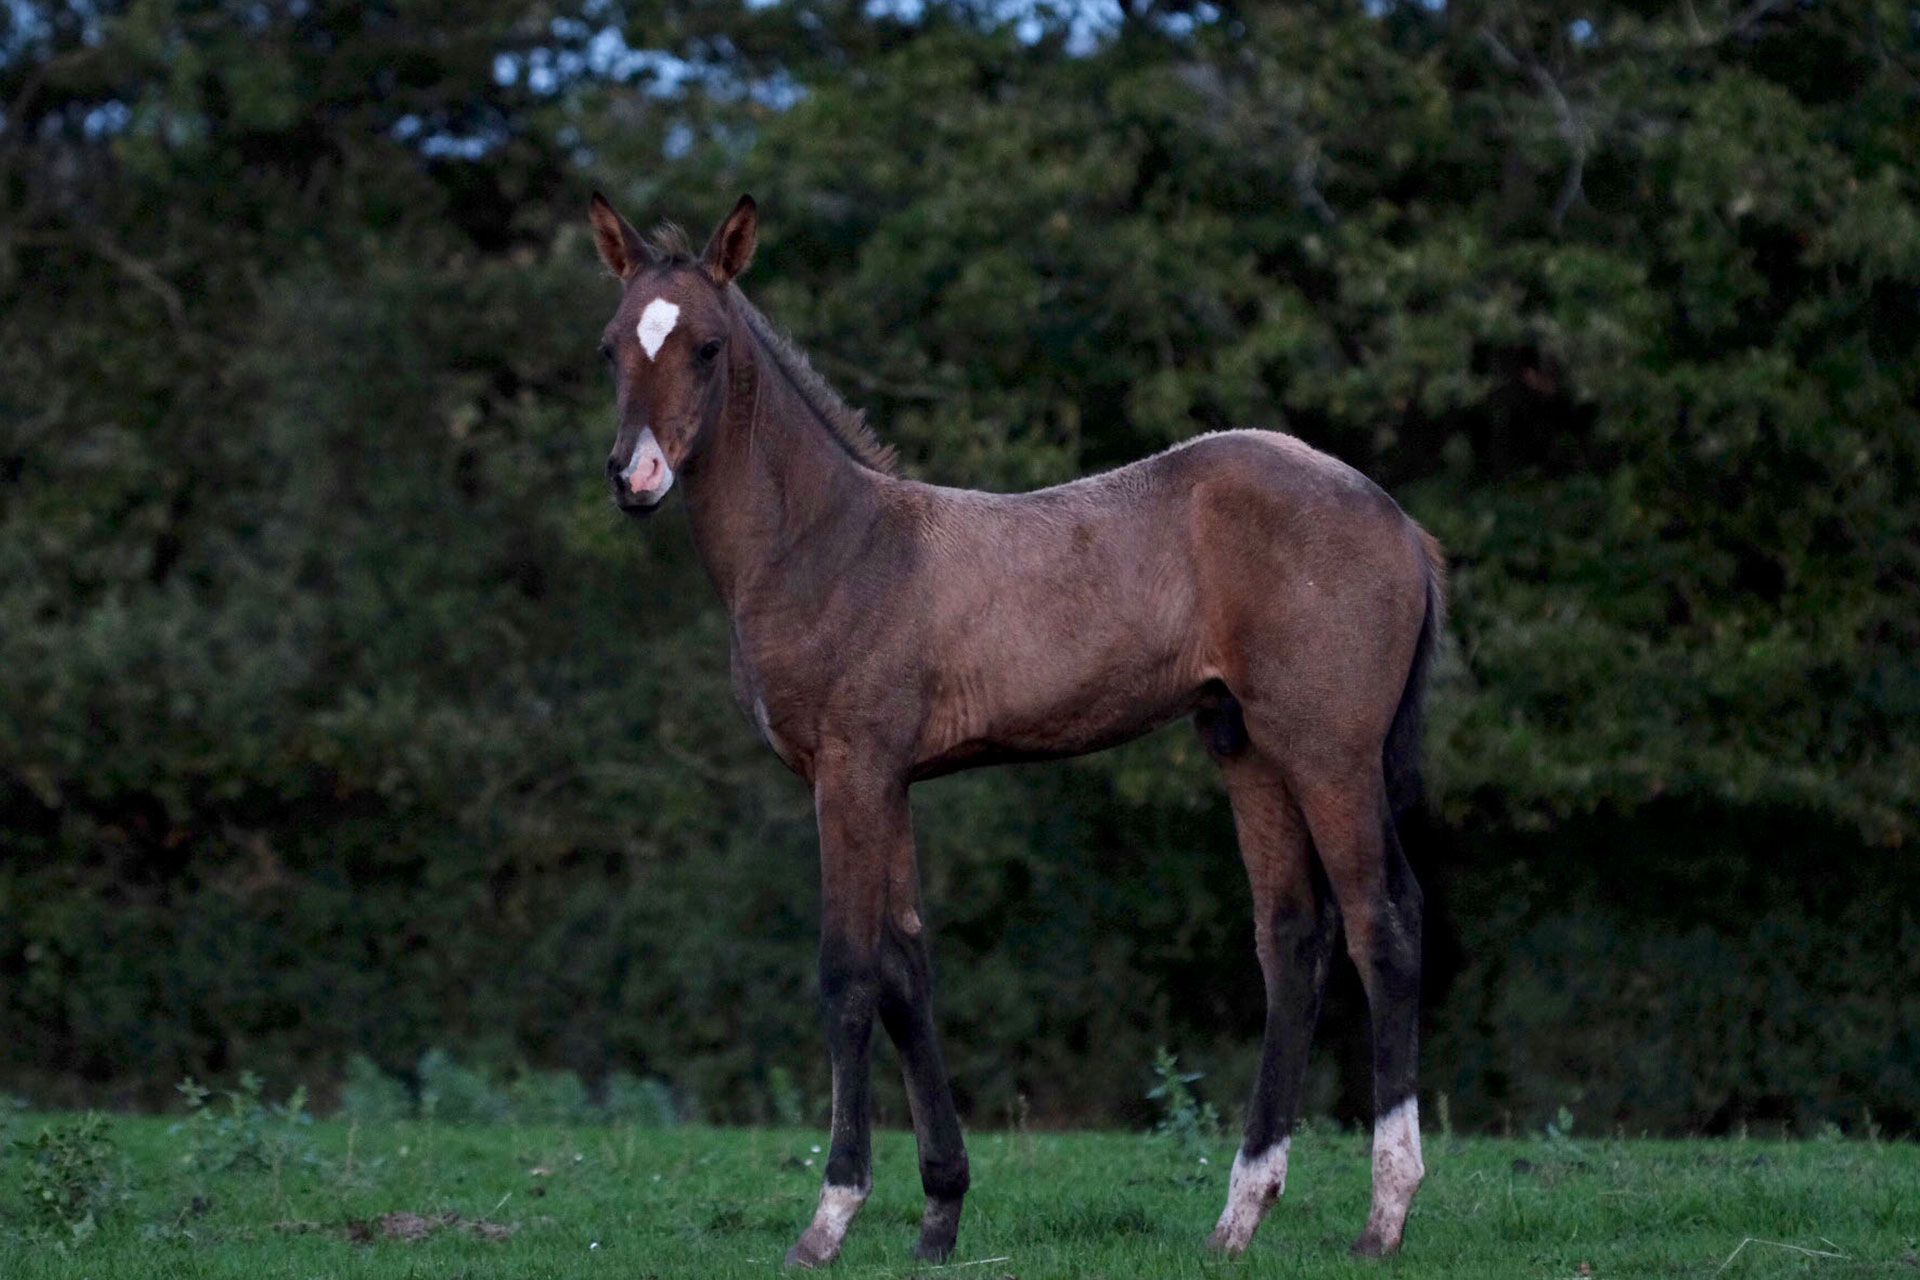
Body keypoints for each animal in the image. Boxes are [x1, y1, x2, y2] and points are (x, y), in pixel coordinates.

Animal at [583, 195, 1443, 1266]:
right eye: (611, 346)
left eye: (705, 346)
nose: (636, 477)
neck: (832, 545)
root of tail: (1400, 522)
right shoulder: (890, 780)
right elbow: (907, 970)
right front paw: (940, 1215)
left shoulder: (850, 772)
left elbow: (849, 973)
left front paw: (829, 1219)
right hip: (1246, 746)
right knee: (1292, 937)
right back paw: (1239, 1215)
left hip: (1330, 752)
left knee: (1384, 924)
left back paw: (1386, 1215)